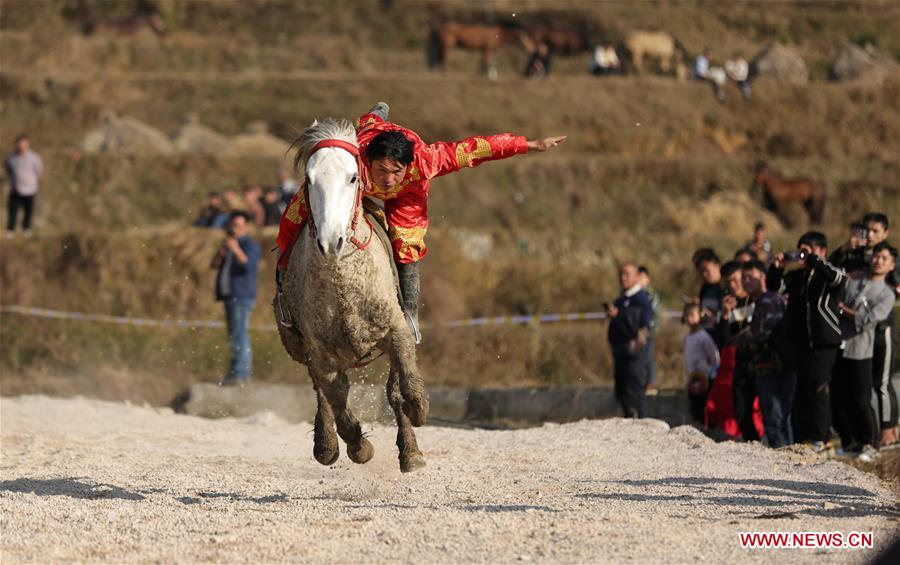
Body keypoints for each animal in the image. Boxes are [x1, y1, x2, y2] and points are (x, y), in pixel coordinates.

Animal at [274, 118, 428, 472]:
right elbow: (337, 399)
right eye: (309, 179)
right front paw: (358, 446)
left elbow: (404, 387)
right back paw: (326, 445)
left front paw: (415, 422)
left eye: (353, 177)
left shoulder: (396, 330)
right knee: (323, 392)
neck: (343, 285)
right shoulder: (319, 351)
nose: (331, 241)